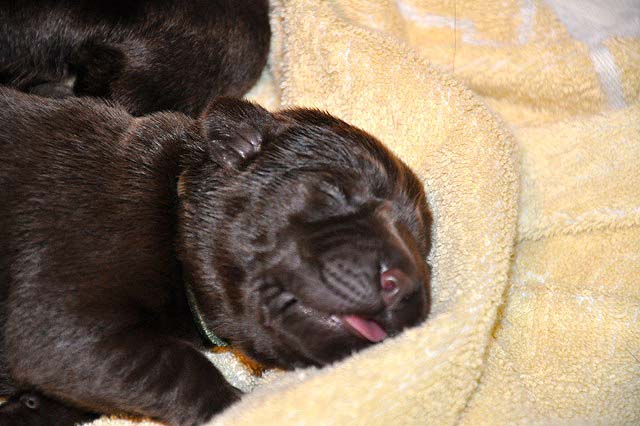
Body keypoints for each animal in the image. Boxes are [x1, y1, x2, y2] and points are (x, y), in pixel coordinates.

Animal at [0, 1, 432, 425]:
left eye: (422, 247)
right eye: (334, 192)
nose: (405, 284)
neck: (173, 206)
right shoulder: (64, 312)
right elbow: (173, 367)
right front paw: (233, 404)